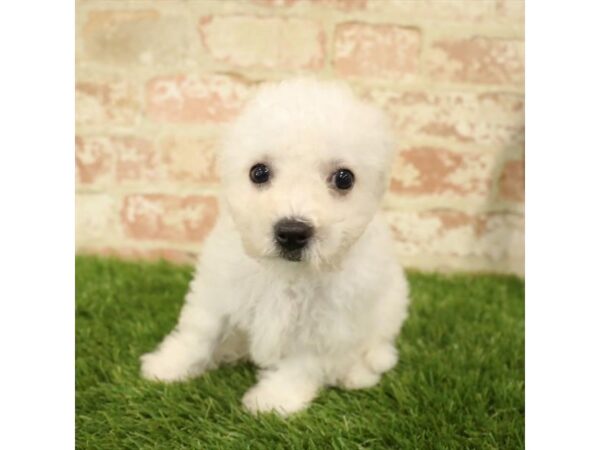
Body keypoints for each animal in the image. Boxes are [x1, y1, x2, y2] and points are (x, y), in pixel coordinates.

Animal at [141, 77, 412, 414]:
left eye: (344, 179)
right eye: (259, 172)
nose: (293, 232)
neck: (286, 272)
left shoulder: (328, 322)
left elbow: (302, 364)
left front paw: (274, 400)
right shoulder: (218, 290)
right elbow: (200, 332)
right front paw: (168, 365)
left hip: (391, 305)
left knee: (378, 346)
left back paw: (358, 372)